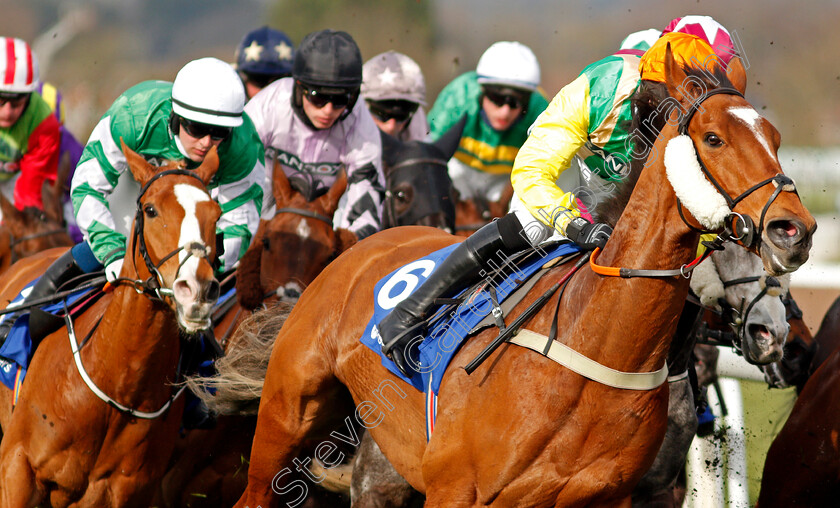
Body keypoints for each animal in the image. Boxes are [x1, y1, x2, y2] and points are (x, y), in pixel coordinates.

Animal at [0, 141, 223, 506]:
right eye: (150, 209)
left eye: (216, 216)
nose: (198, 290)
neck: (118, 381)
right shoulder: (18, 467)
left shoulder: (121, 490)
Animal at [235, 52, 812, 508]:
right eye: (713, 138)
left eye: (775, 138)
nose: (794, 230)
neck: (599, 345)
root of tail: (360, 246)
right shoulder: (454, 491)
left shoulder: (623, 496)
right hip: (292, 422)